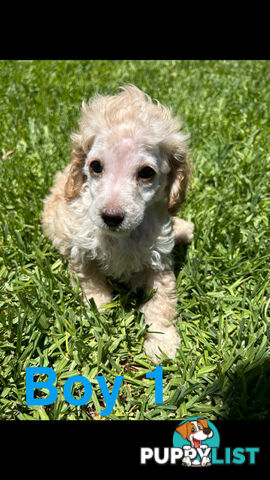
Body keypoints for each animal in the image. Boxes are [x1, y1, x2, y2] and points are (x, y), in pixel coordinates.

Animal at [41, 84, 194, 362]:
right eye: (95, 166)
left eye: (146, 173)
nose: (111, 217)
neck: (121, 237)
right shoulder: (81, 252)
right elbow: (92, 285)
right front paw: (100, 313)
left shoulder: (158, 261)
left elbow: (162, 302)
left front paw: (162, 342)